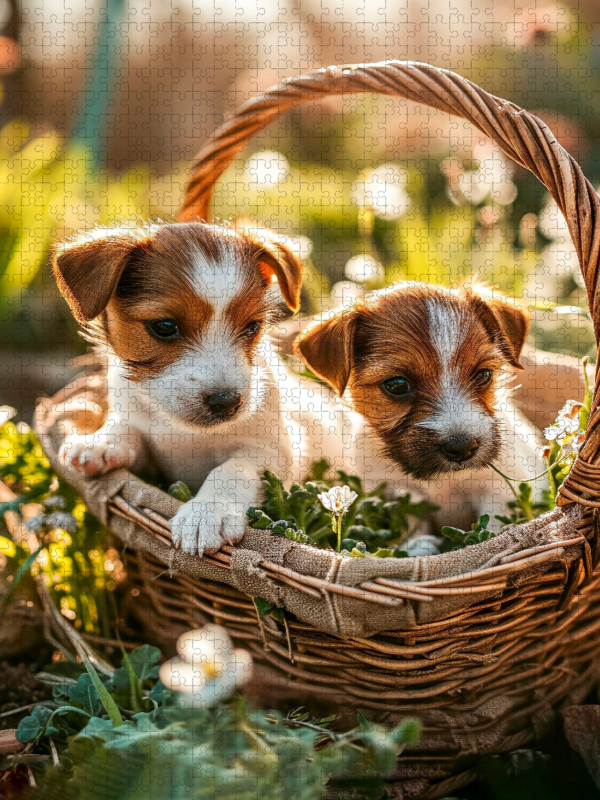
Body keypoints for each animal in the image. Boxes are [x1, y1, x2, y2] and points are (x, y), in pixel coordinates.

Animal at [51, 220, 302, 556]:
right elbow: (125, 428)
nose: (227, 402)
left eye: (253, 327)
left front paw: (207, 512)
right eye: (164, 326)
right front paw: (99, 442)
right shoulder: (147, 447)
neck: (182, 429)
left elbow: (230, 469)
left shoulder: (273, 452)